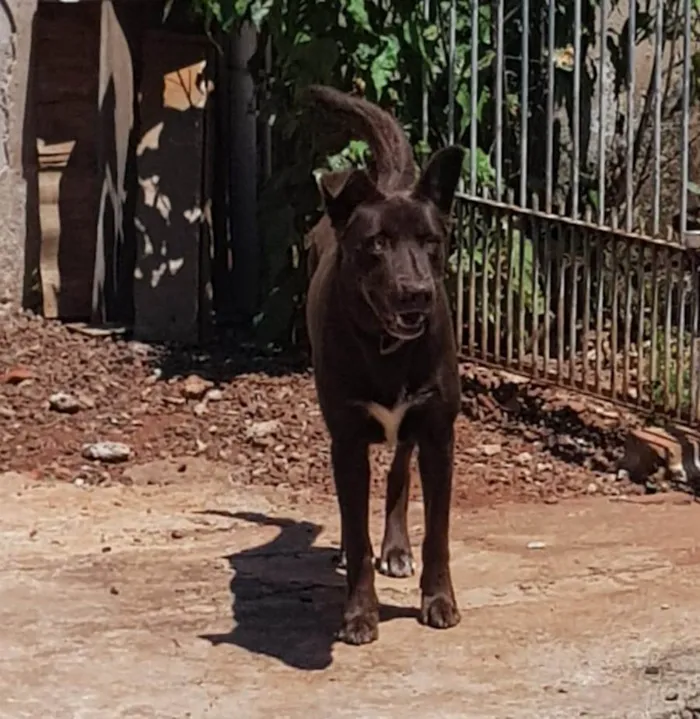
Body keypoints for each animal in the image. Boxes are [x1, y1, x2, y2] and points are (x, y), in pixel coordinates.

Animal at [302, 86, 462, 648]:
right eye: (376, 244)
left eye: (432, 241)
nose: (417, 293)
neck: (388, 347)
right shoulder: (346, 440)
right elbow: (355, 531)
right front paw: (358, 615)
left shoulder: (437, 433)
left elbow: (438, 532)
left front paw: (439, 601)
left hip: (412, 428)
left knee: (397, 471)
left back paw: (396, 548)